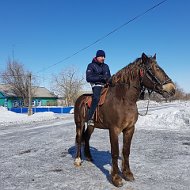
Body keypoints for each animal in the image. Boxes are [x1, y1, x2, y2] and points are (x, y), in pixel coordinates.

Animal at [73, 52, 176, 186]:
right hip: (79, 124)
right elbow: (115, 152)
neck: (124, 100)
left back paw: (89, 157)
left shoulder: (129, 129)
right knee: (79, 138)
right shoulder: (114, 130)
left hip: (92, 125)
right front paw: (116, 178)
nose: (172, 88)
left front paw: (127, 174)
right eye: (151, 69)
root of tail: (80, 99)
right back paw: (78, 160)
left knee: (86, 137)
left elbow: (126, 151)